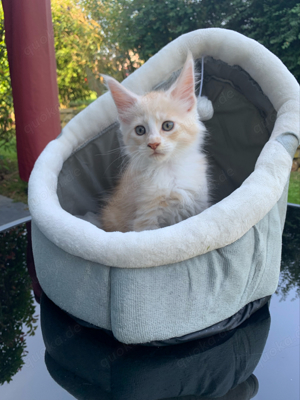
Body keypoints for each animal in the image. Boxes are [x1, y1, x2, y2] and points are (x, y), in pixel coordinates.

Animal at [100, 54, 209, 233]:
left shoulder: (199, 203)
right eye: (140, 130)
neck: (169, 171)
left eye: (168, 125)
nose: (153, 144)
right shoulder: (145, 218)